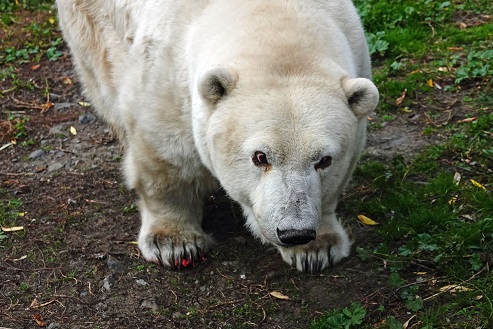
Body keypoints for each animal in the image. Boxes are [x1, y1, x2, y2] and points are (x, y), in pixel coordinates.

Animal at [58, 0, 380, 272]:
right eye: (260, 157)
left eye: (324, 160)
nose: (294, 232)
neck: (273, 19)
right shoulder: (167, 74)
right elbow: (167, 160)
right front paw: (174, 243)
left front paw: (318, 248)